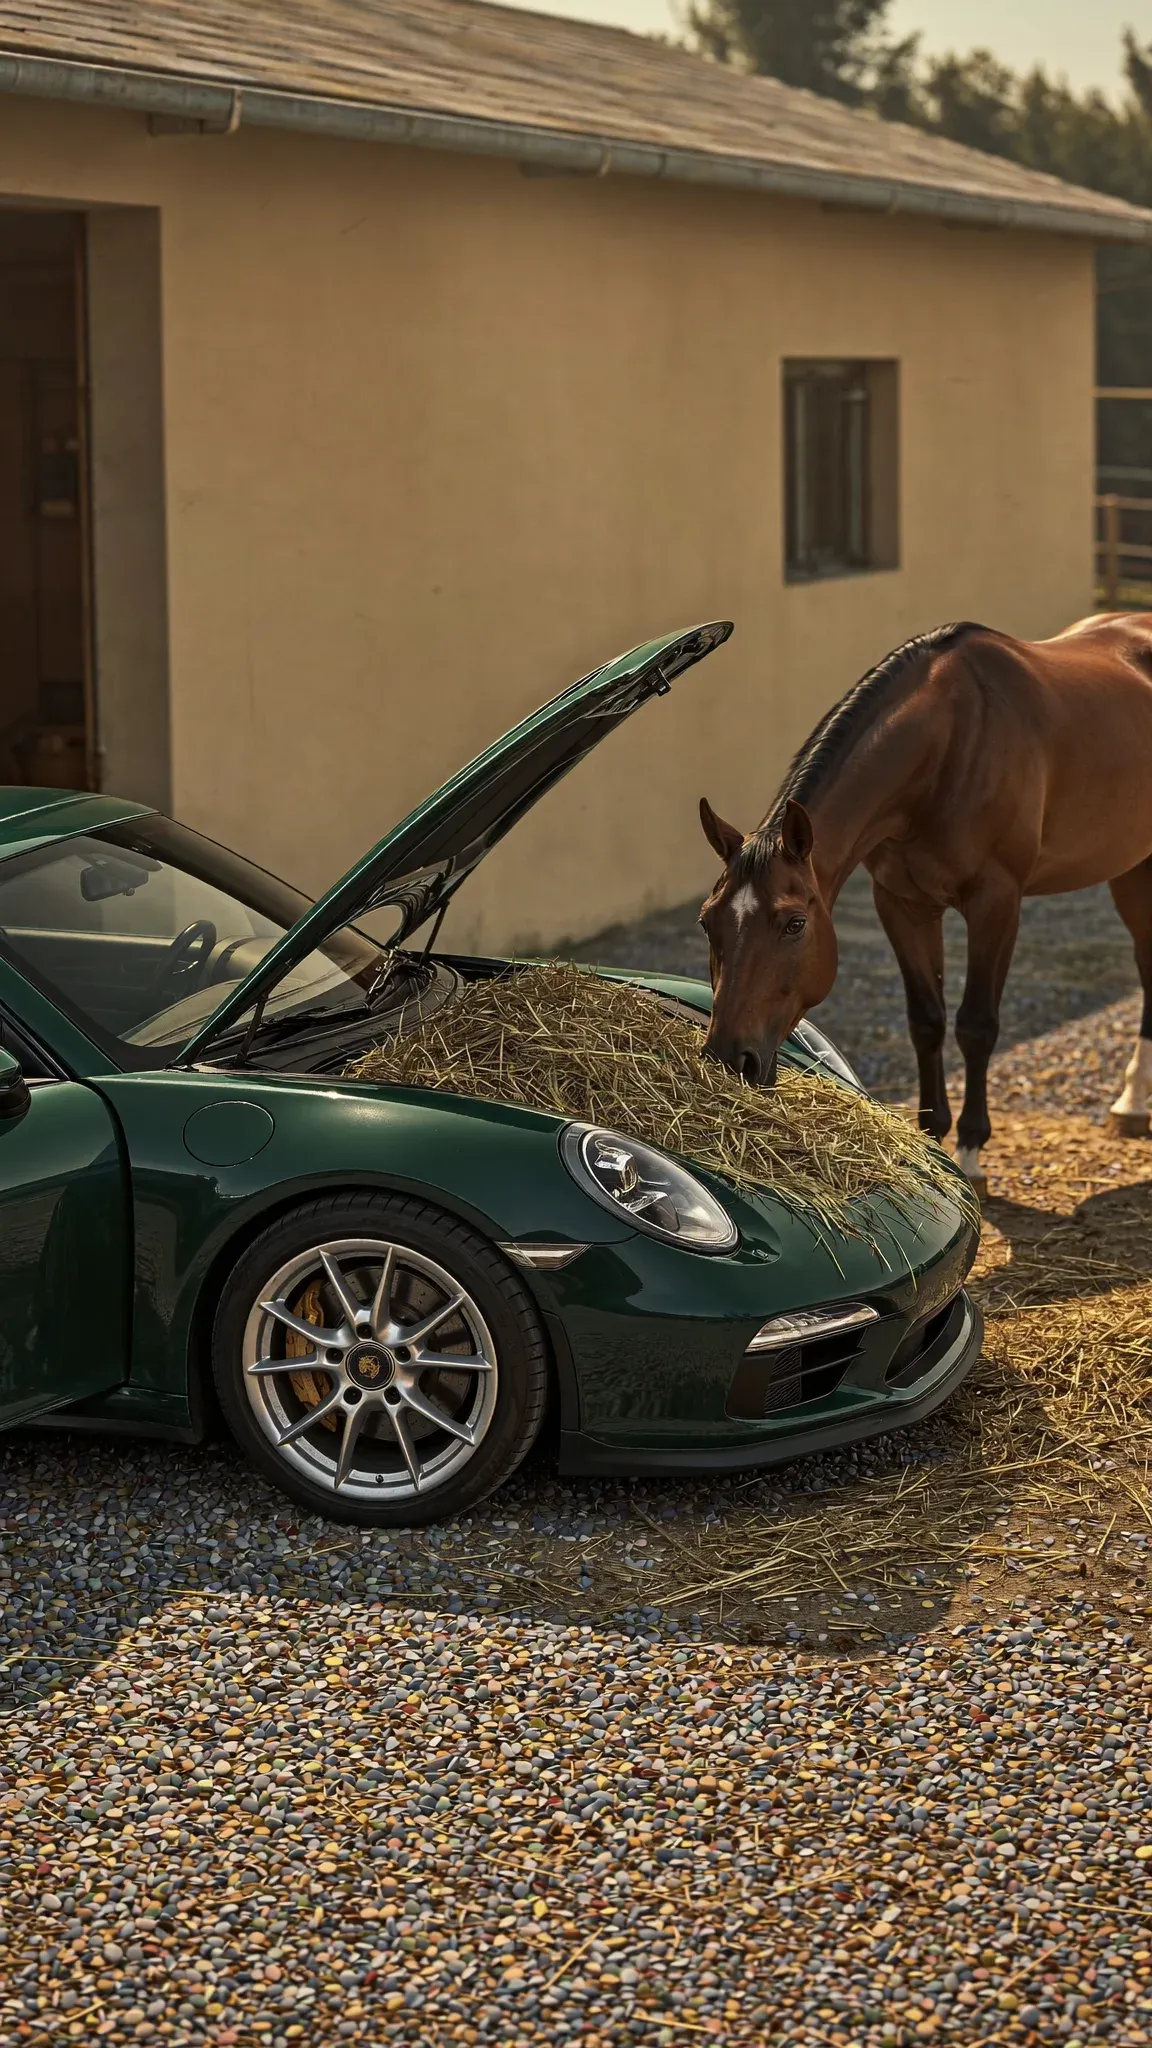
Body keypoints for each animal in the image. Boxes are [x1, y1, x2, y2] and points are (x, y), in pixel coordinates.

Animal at [697, 613, 1152, 1197]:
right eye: (707, 923)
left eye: (794, 923)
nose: (729, 1059)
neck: (951, 743)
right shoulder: (902, 903)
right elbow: (927, 1020)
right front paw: (935, 1137)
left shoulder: (996, 902)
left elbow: (976, 1024)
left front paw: (973, 1152)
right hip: (1132, 866)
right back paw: (1131, 1102)